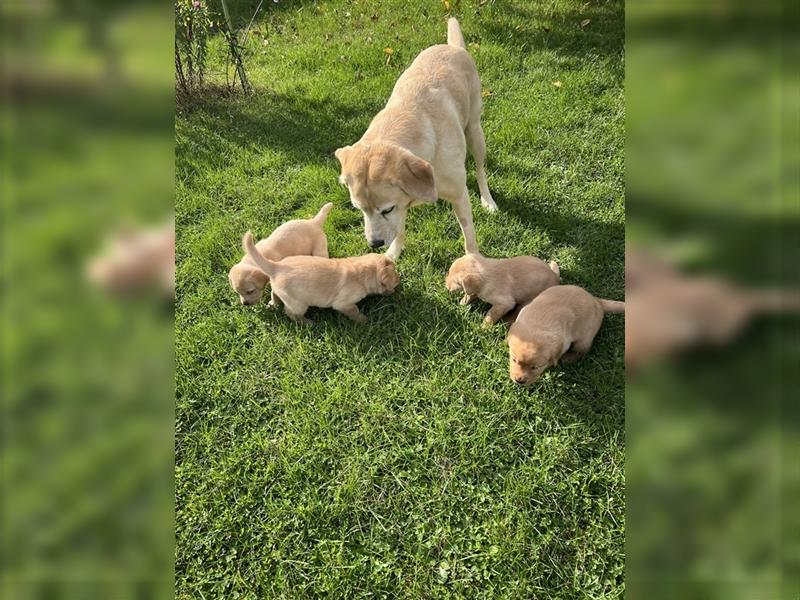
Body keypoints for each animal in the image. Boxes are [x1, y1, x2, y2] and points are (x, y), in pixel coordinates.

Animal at [241, 231, 396, 326]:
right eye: (394, 283)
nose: (396, 290)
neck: (360, 271)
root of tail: (276, 266)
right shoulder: (343, 304)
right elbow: (354, 311)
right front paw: (364, 320)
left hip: (280, 291)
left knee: (275, 294)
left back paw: (273, 303)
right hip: (298, 303)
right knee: (290, 313)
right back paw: (307, 322)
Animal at [334, 18, 496, 260]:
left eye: (386, 209)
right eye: (359, 208)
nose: (374, 243)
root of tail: (453, 47)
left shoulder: (459, 196)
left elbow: (469, 234)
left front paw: (473, 260)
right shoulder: (402, 203)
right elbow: (399, 230)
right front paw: (392, 254)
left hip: (475, 132)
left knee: (480, 170)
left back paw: (487, 200)